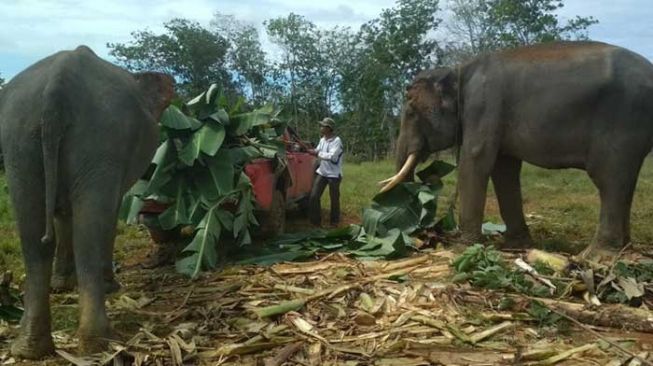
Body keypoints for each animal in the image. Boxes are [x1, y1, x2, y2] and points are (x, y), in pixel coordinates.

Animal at [0, 45, 173, 358]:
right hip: (98, 139)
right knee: (89, 228)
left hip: (19, 142)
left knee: (34, 237)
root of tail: (58, 82)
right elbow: (111, 210)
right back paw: (97, 340)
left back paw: (30, 348)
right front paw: (104, 284)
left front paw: (61, 285)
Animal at [380, 40, 653, 258]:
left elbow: (476, 161)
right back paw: (623, 251)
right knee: (623, 183)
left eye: (411, 111)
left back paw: (595, 256)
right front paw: (515, 245)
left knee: (609, 179)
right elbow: (504, 170)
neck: (457, 69)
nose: (420, 235)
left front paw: (461, 249)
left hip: (622, 121)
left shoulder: (483, 106)